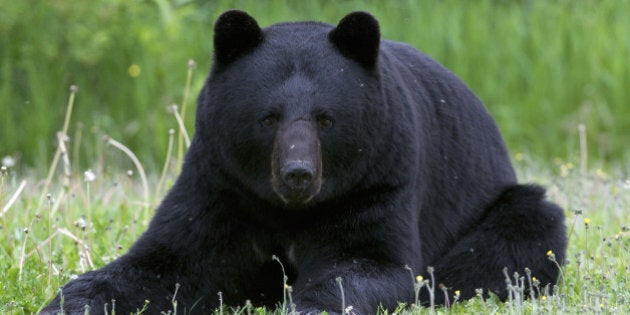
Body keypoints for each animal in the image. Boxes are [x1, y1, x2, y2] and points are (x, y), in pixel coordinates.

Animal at [42, 9, 572, 315]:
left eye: (326, 119)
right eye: (268, 117)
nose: (298, 174)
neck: (288, 210)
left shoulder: (379, 180)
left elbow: (370, 264)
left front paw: (306, 305)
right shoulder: (219, 183)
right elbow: (169, 261)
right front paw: (71, 301)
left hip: (501, 205)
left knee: (519, 237)